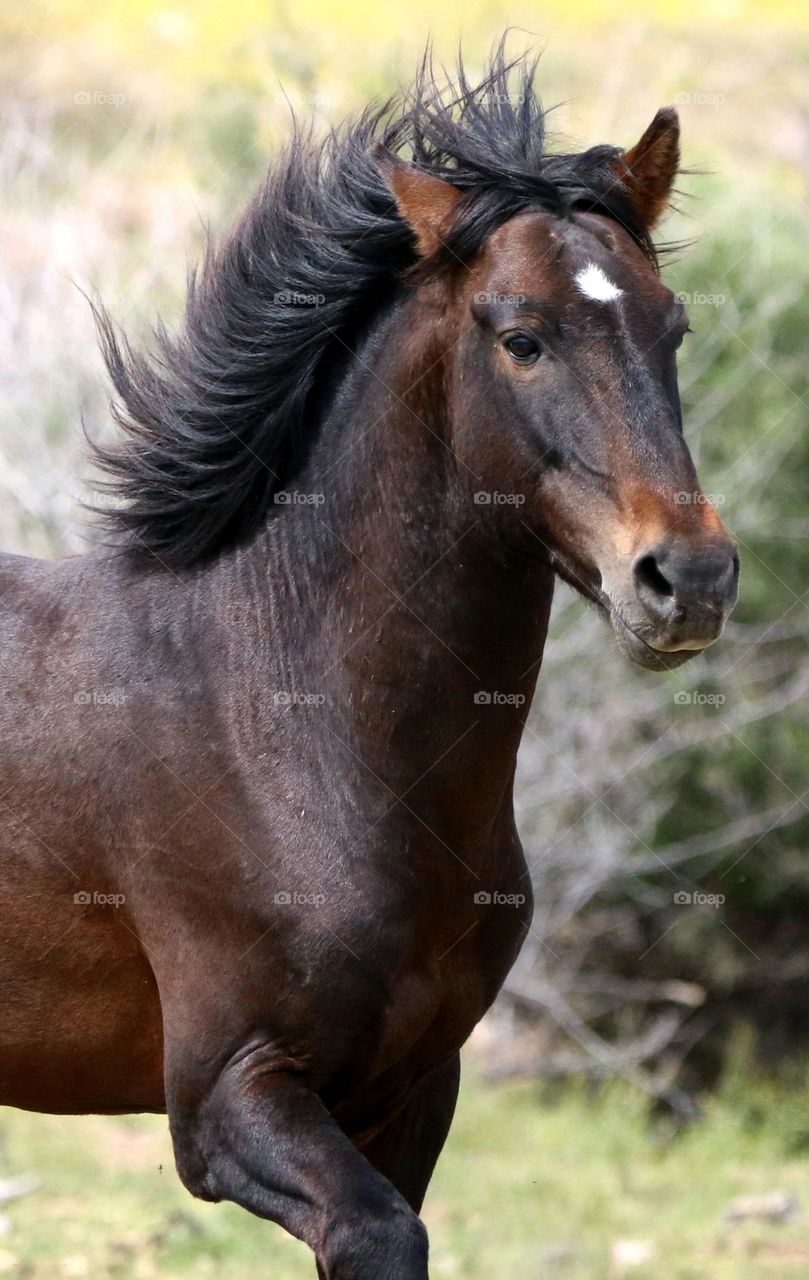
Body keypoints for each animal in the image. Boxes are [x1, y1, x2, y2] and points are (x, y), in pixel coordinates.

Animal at [0, 45, 738, 1279]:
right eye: (519, 336)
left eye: (670, 328)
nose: (685, 578)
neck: (285, 728)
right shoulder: (229, 1091)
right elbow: (380, 1234)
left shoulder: (414, 1092)